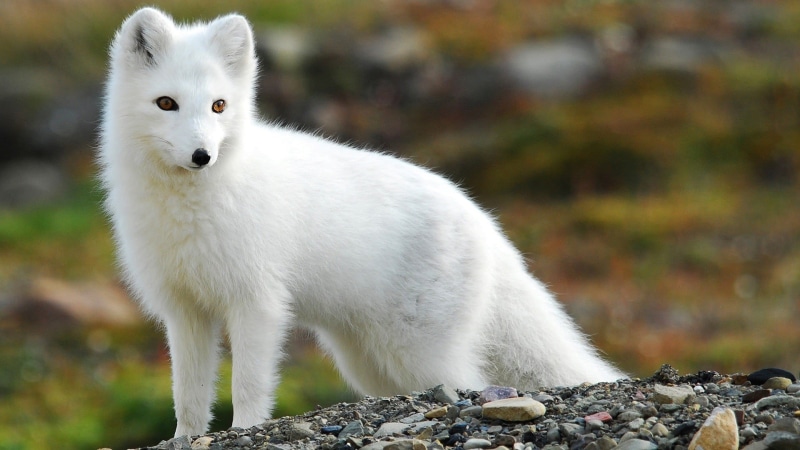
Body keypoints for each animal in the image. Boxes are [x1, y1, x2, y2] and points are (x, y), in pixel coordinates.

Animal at [99, 7, 625, 437]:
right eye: (166, 103)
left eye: (219, 106)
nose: (202, 155)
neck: (187, 209)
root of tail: (482, 220)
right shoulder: (184, 309)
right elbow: (188, 396)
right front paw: (184, 438)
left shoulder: (257, 302)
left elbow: (248, 386)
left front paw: (244, 429)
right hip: (367, 360)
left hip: (418, 353)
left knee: (470, 384)